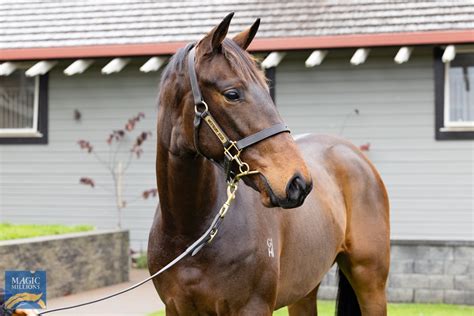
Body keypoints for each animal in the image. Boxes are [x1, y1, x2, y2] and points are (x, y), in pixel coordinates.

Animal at [148, 12, 388, 316]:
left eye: (266, 87)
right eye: (232, 94)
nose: (298, 183)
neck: (191, 233)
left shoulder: (253, 307)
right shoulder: (176, 308)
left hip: (370, 283)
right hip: (304, 292)